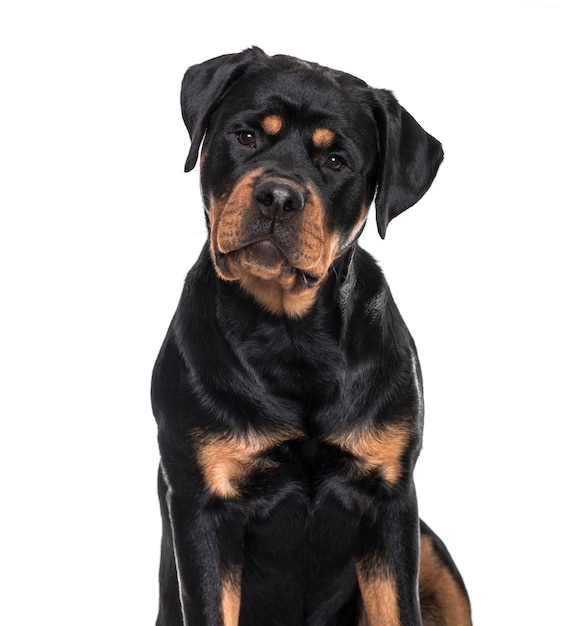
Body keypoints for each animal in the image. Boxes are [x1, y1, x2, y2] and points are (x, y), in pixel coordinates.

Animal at [152, 46, 474, 620]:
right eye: (246, 136)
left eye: (336, 162)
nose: (278, 196)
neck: (290, 334)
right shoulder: (202, 505)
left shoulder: (391, 501)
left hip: (432, 551)